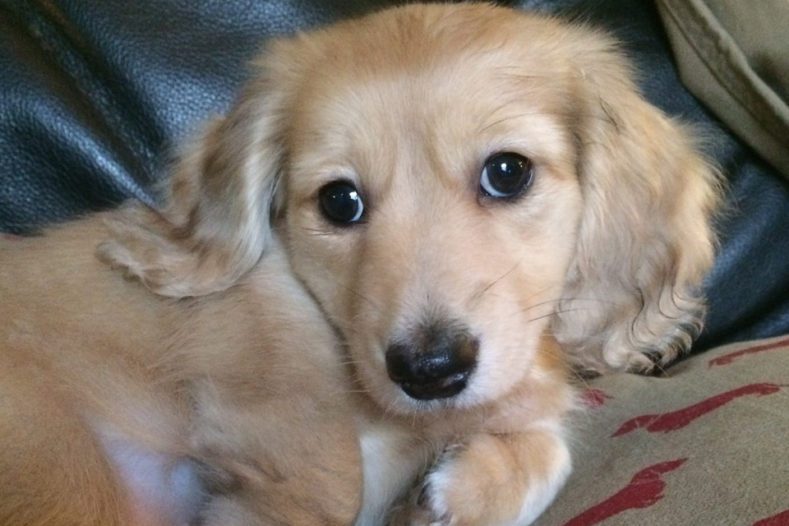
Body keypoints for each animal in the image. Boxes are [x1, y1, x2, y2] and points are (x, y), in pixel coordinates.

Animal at [0, 4, 720, 526]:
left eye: (507, 172)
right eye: (339, 201)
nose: (429, 371)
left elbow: (549, 443)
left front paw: (467, 491)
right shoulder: (258, 367)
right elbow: (332, 481)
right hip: (60, 462)